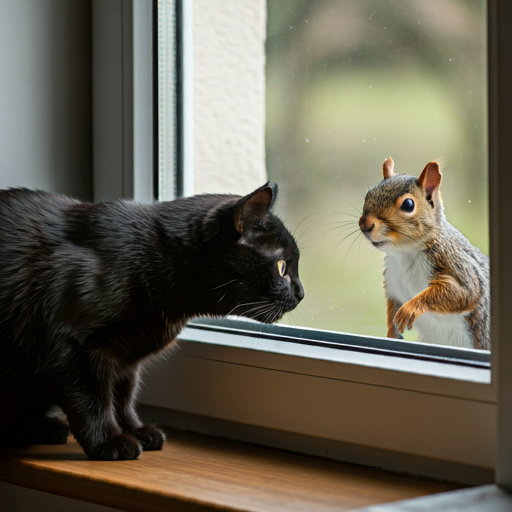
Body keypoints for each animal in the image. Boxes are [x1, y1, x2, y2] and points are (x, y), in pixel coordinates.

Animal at [0, 184, 304, 460]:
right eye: (281, 268)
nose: (301, 293)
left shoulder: (124, 357)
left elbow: (121, 397)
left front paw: (134, 430)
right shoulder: (72, 346)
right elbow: (94, 400)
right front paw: (108, 441)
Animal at [358, 158, 490, 350]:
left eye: (408, 205)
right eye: (369, 194)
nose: (364, 224)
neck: (405, 253)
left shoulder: (456, 263)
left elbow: (463, 292)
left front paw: (410, 308)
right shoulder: (393, 284)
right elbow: (392, 308)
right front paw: (391, 332)